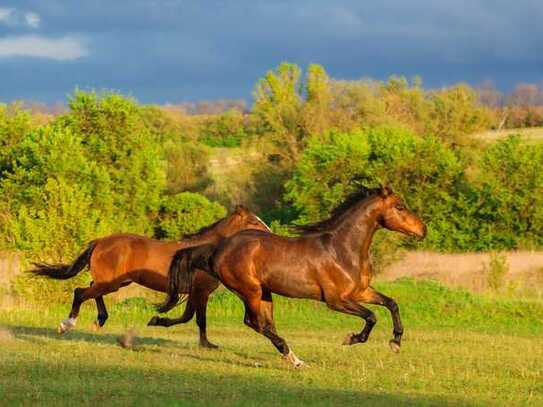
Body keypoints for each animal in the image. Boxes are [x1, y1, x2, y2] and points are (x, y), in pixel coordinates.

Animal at [31, 207, 270, 348]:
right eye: (254, 222)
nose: (269, 233)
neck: (204, 251)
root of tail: (99, 242)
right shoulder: (201, 291)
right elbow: (198, 319)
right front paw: (206, 344)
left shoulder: (194, 292)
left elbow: (188, 317)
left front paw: (157, 320)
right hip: (111, 283)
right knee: (81, 292)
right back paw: (66, 325)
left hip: (114, 282)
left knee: (91, 290)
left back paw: (100, 320)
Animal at [159, 188, 428, 366]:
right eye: (400, 207)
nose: (423, 230)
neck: (342, 250)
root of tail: (218, 248)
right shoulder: (336, 301)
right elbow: (371, 316)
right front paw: (352, 338)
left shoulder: (361, 292)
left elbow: (392, 304)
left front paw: (396, 343)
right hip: (250, 291)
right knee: (254, 323)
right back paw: (294, 359)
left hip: (265, 293)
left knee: (265, 324)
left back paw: (291, 356)